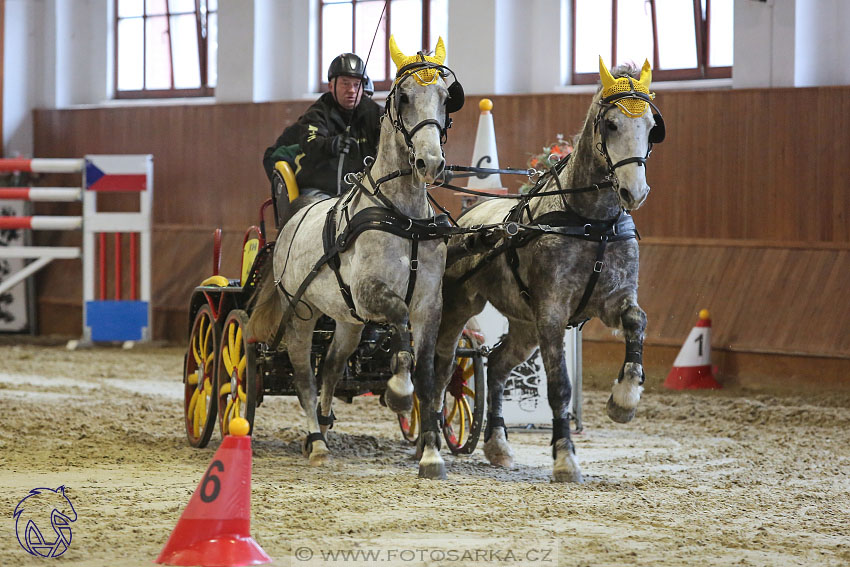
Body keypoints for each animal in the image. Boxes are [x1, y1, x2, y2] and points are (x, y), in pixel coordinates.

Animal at [430, 57, 664, 482]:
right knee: (442, 368)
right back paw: (433, 437)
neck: (591, 223)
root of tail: (463, 220)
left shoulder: (615, 299)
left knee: (497, 364)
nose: (634, 192)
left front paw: (624, 398)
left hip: (525, 325)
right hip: (460, 309)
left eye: (652, 126)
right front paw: (565, 458)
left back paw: (498, 445)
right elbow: (559, 387)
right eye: (611, 124)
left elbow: (637, 322)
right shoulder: (552, 313)